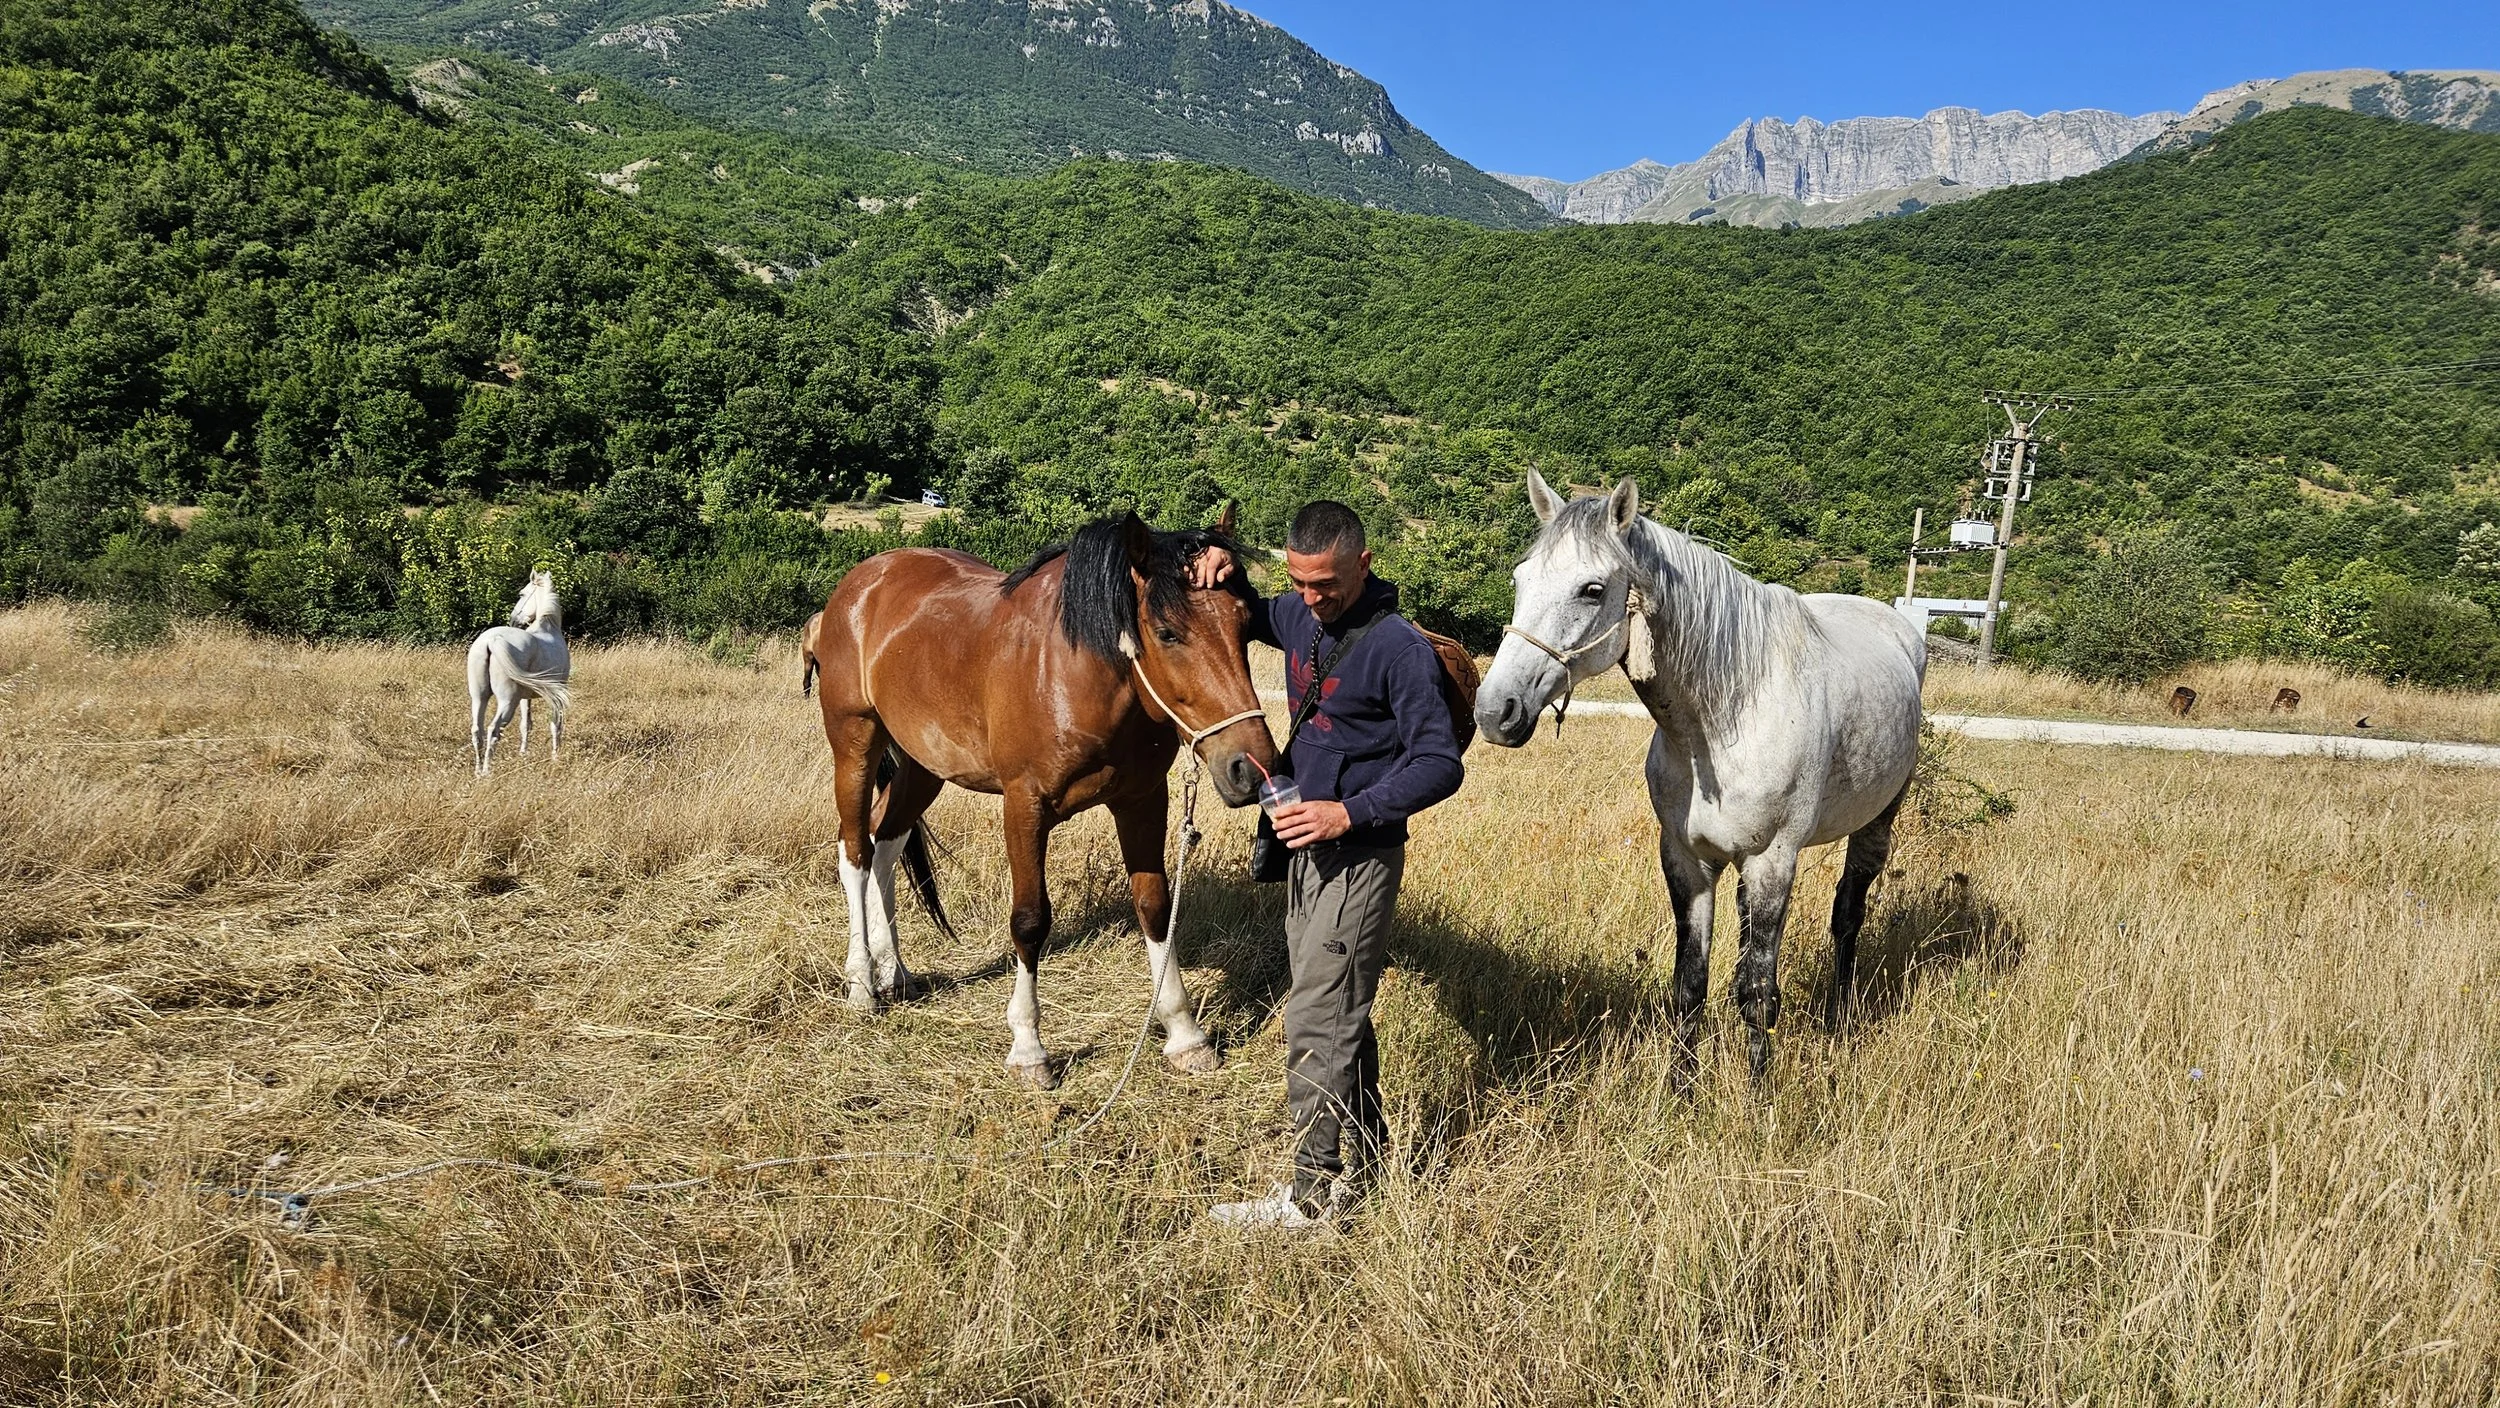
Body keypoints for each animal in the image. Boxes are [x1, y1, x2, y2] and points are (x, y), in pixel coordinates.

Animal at [467, 569, 572, 777]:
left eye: (522, 594)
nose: (513, 620)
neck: (548, 627)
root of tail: (492, 641)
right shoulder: (556, 695)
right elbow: (555, 724)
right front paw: (556, 756)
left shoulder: (526, 697)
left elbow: (526, 725)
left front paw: (523, 754)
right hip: (508, 701)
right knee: (493, 730)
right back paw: (487, 771)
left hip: (479, 697)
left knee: (477, 730)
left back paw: (477, 771)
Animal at [812, 507, 1279, 1089]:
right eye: (1168, 633)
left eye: (1244, 625)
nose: (1251, 768)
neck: (1073, 672)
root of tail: (857, 585)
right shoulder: (1025, 807)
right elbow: (1030, 921)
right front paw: (1029, 1049)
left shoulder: (1143, 801)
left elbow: (1155, 906)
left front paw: (1184, 1034)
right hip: (854, 742)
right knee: (855, 849)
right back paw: (861, 986)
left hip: (923, 765)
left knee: (886, 843)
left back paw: (893, 971)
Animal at [1474, 473, 1926, 1086]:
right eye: (1520, 581)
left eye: (1591, 589)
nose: (1495, 711)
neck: (1726, 720)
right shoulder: (1688, 859)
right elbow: (1690, 984)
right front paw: (1681, 1090)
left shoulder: (1771, 862)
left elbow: (1757, 992)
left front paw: (1758, 1093)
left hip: (1876, 822)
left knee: (1848, 916)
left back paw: (1841, 1019)